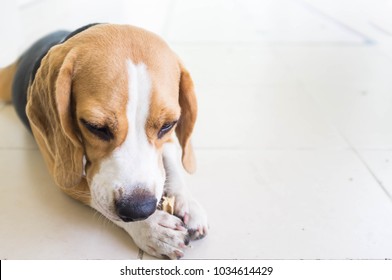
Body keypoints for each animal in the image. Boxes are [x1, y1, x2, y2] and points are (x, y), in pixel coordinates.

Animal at [0, 23, 208, 260]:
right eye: (95, 127)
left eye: (168, 125)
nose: (139, 210)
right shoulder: (60, 170)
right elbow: (93, 194)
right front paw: (152, 228)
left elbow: (170, 163)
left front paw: (187, 202)